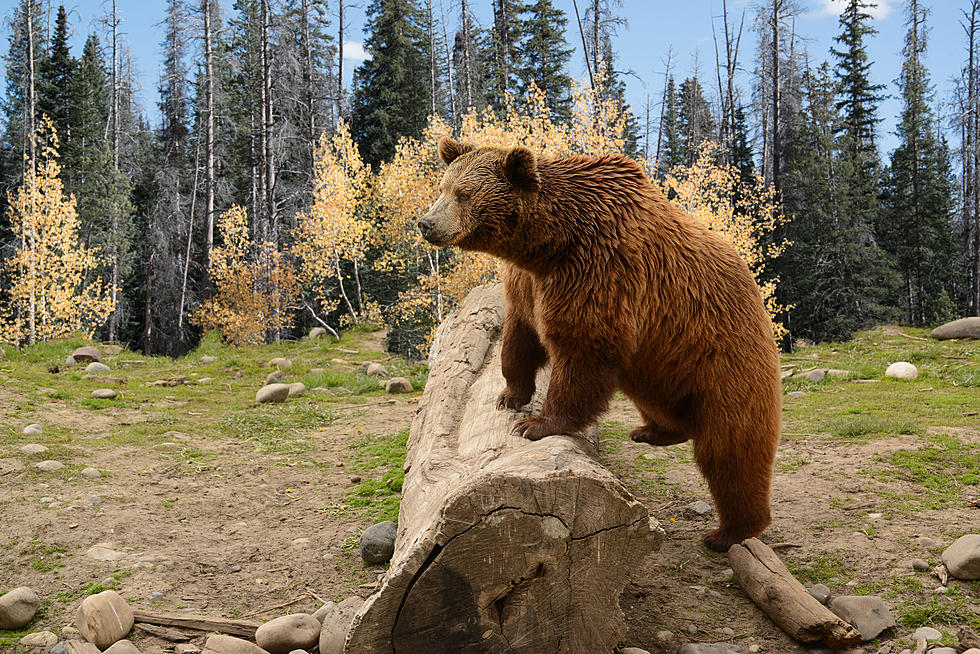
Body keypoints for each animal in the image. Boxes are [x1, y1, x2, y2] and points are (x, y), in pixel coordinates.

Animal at [420, 138, 780, 552]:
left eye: (463, 194)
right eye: (442, 187)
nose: (427, 223)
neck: (550, 244)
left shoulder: (599, 270)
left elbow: (583, 349)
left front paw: (536, 424)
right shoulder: (528, 283)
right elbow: (519, 337)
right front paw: (510, 396)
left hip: (723, 357)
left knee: (730, 449)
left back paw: (728, 532)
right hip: (661, 361)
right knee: (660, 401)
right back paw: (653, 431)